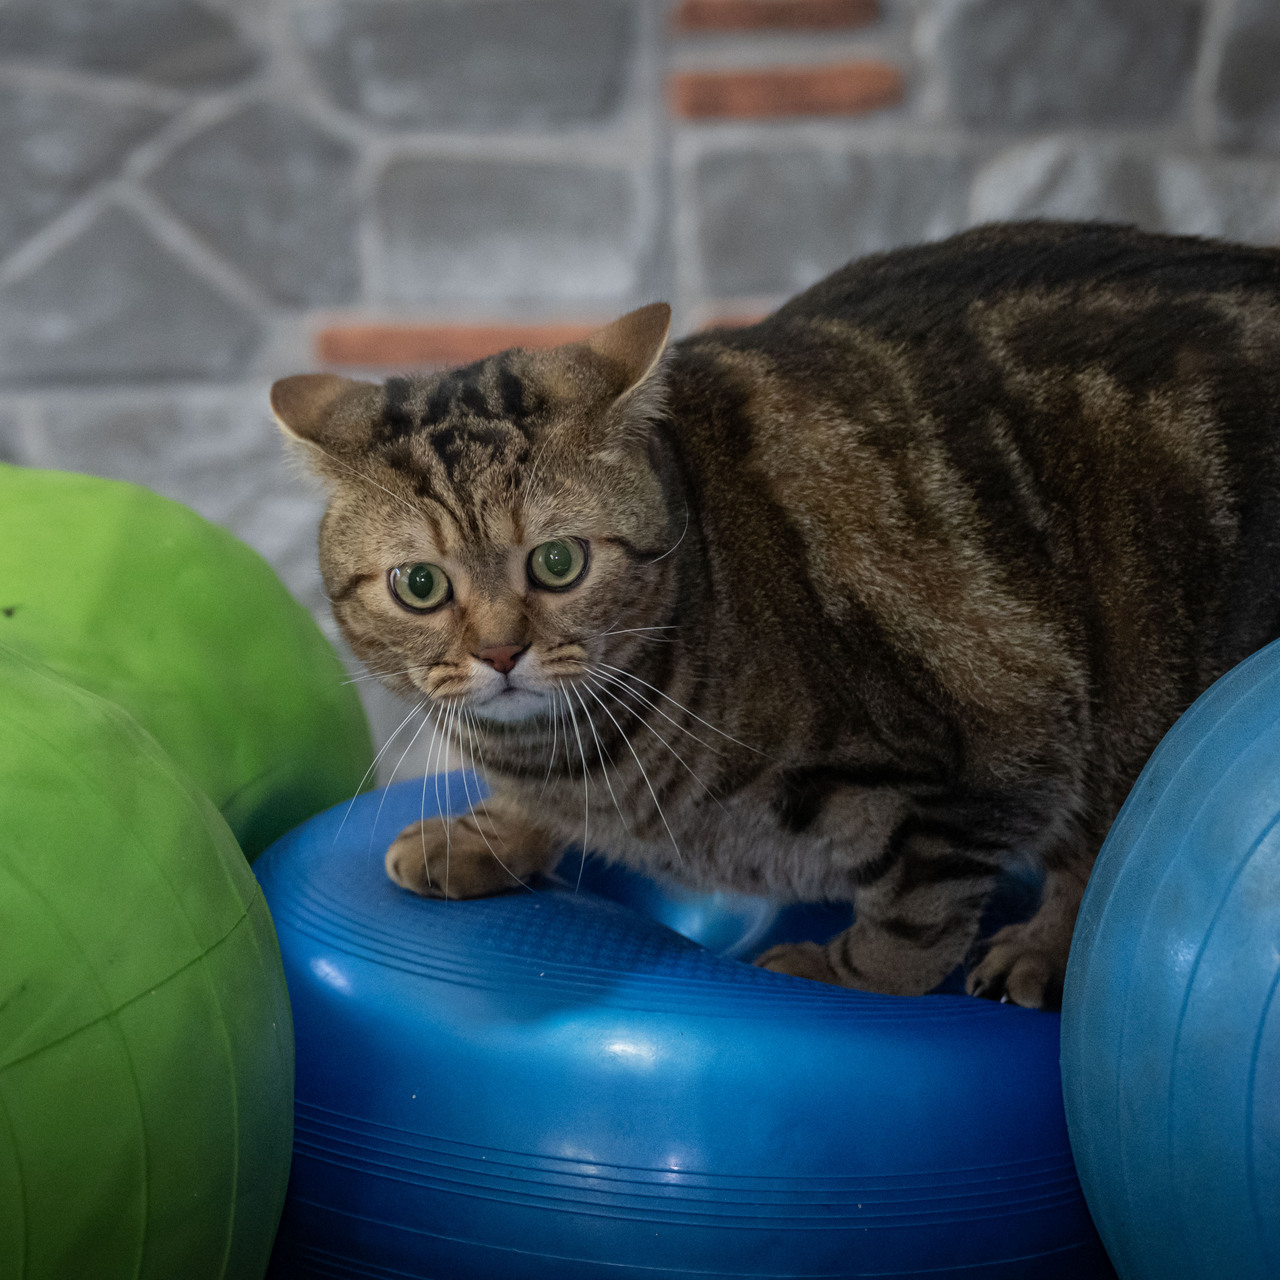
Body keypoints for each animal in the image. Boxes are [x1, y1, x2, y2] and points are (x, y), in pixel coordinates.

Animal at [275, 222, 1280, 1008]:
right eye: (420, 586)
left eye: (558, 563)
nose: (500, 653)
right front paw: (486, 833)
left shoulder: (1005, 726)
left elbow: (913, 921)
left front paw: (838, 974)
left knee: (1104, 850)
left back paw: (1042, 950)